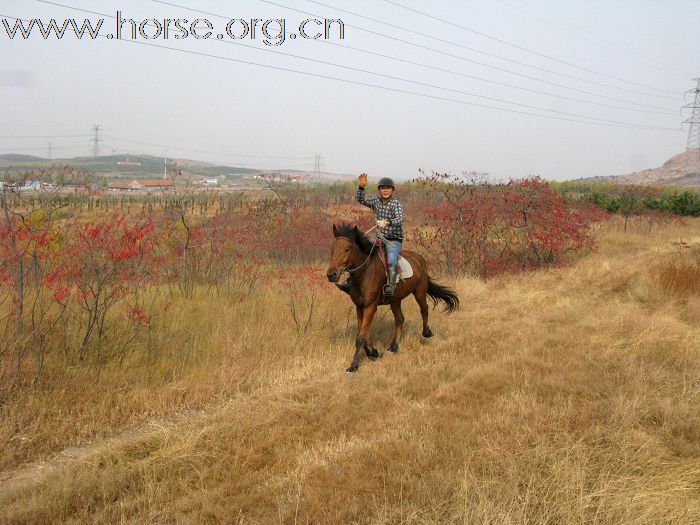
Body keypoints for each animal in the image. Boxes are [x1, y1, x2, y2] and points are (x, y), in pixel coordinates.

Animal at [326, 221, 460, 372]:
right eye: (333, 248)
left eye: (347, 249)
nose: (331, 275)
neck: (365, 273)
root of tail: (419, 258)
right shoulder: (359, 307)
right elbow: (362, 334)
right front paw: (373, 352)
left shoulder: (370, 307)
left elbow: (360, 337)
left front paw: (353, 366)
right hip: (395, 300)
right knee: (400, 319)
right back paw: (393, 347)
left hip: (420, 291)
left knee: (424, 309)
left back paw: (426, 333)